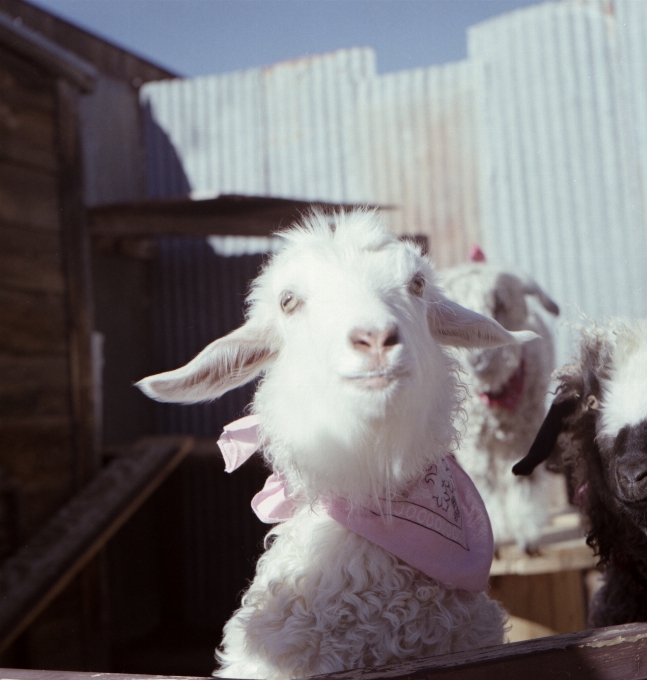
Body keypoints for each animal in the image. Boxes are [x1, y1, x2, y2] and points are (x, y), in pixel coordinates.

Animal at [440, 258, 568, 548]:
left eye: (499, 305)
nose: (476, 358)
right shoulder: (473, 442)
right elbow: (483, 480)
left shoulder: (524, 432)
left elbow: (521, 478)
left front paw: (525, 534)